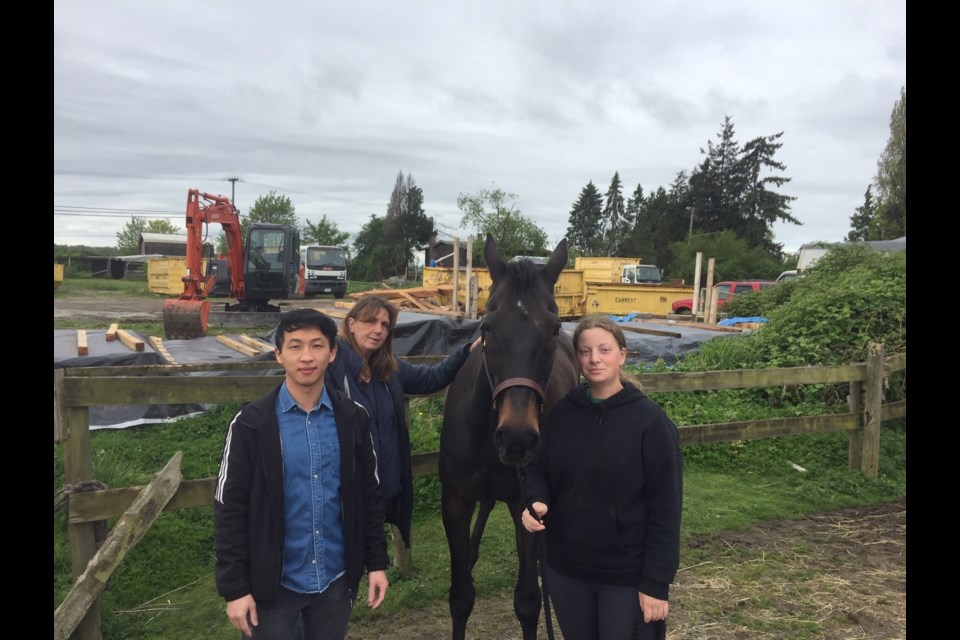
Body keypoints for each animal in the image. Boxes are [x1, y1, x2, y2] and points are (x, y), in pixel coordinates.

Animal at [440, 235, 576, 640]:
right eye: (487, 326)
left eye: (553, 328)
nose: (517, 438)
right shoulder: (455, 501)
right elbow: (461, 596)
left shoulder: (525, 505)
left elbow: (528, 601)